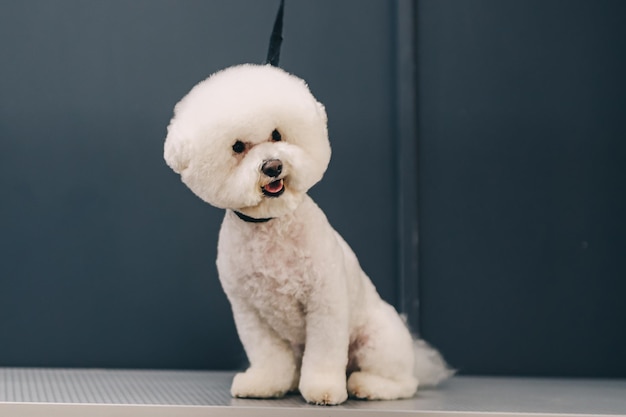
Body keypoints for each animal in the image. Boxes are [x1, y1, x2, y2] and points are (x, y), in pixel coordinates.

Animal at [163, 64, 450, 404]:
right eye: (237, 147)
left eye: (277, 134)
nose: (272, 166)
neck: (271, 225)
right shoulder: (250, 312)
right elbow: (268, 355)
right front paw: (265, 383)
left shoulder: (325, 302)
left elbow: (324, 354)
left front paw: (323, 389)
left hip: (378, 339)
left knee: (403, 381)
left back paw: (368, 385)